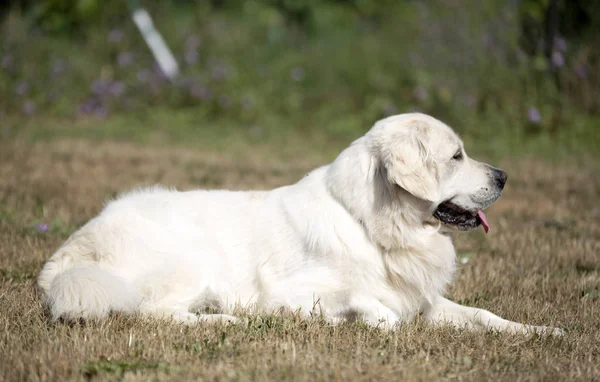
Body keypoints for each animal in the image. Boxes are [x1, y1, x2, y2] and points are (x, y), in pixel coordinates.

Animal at [37, 112, 564, 334]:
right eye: (456, 156)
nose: (504, 176)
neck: (371, 225)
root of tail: (70, 250)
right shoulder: (287, 291)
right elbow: (372, 307)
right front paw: (360, 321)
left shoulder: (422, 299)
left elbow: (484, 316)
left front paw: (542, 332)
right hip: (190, 263)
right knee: (148, 311)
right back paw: (223, 319)